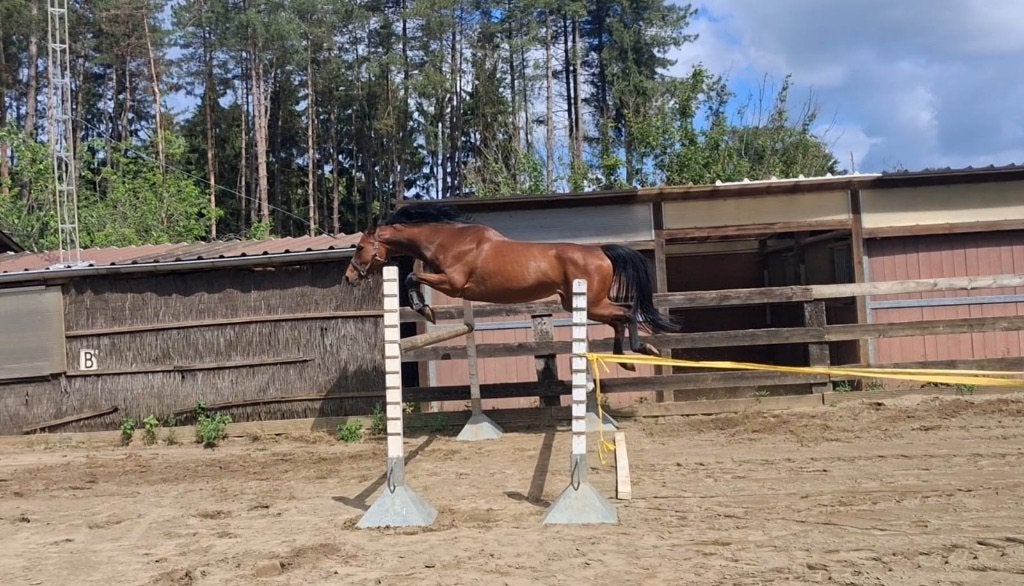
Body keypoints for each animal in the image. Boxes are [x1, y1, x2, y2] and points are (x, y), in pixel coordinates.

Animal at [344, 203, 681, 368]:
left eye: (359, 247)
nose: (348, 277)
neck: (447, 240)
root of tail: (601, 251)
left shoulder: (453, 284)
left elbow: (411, 277)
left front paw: (424, 309)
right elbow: (412, 276)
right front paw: (424, 308)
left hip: (592, 302)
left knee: (626, 313)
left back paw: (640, 349)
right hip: (581, 303)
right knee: (620, 317)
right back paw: (626, 359)